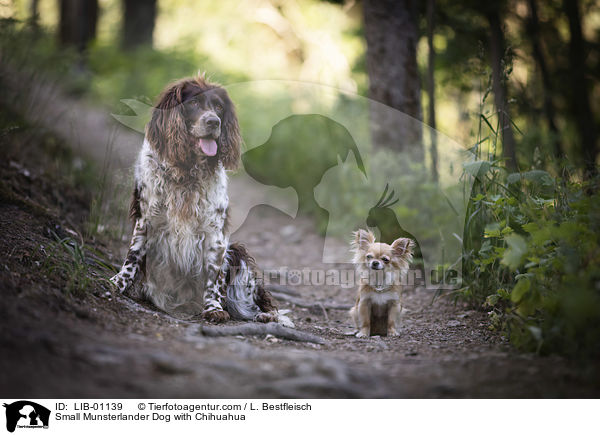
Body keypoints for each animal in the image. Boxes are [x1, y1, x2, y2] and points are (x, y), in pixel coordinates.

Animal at [111, 76, 292, 328]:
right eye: (194, 103)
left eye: (219, 107)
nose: (214, 122)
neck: (186, 171)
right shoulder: (145, 218)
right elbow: (132, 256)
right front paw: (118, 282)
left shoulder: (215, 233)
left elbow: (213, 278)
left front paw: (214, 308)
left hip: (237, 255)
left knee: (256, 303)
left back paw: (266, 315)